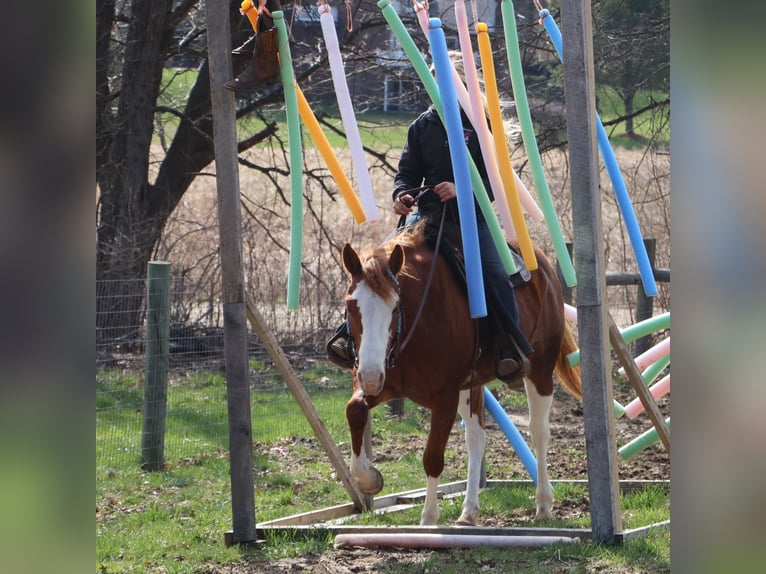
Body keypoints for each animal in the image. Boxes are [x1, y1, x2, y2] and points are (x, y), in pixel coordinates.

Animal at [340, 220, 582, 526]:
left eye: (395, 308)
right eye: (351, 306)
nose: (370, 376)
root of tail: (544, 265)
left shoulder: (444, 397)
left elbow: (432, 458)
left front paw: (428, 519)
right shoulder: (383, 383)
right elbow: (355, 410)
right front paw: (369, 479)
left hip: (540, 371)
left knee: (539, 433)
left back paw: (543, 504)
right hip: (471, 384)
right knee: (477, 439)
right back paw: (469, 511)